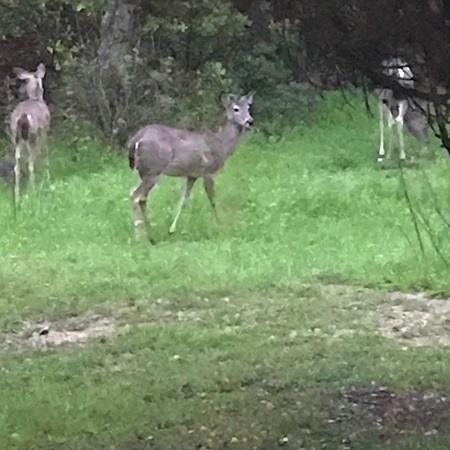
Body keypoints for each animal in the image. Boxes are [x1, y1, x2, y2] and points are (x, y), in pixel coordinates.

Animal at [9, 62, 51, 205]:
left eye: (25, 81)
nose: (20, 90)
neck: (36, 98)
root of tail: (23, 117)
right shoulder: (44, 132)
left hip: (16, 137)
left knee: (17, 166)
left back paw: (17, 197)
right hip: (33, 136)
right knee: (30, 163)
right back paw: (33, 191)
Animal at [128, 91, 255, 243]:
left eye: (248, 107)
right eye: (236, 109)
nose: (250, 121)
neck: (222, 145)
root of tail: (136, 139)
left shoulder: (192, 175)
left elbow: (183, 200)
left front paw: (171, 230)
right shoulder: (208, 171)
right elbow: (213, 200)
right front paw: (221, 227)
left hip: (142, 171)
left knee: (140, 196)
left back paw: (151, 236)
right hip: (154, 170)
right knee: (135, 195)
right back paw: (138, 237)